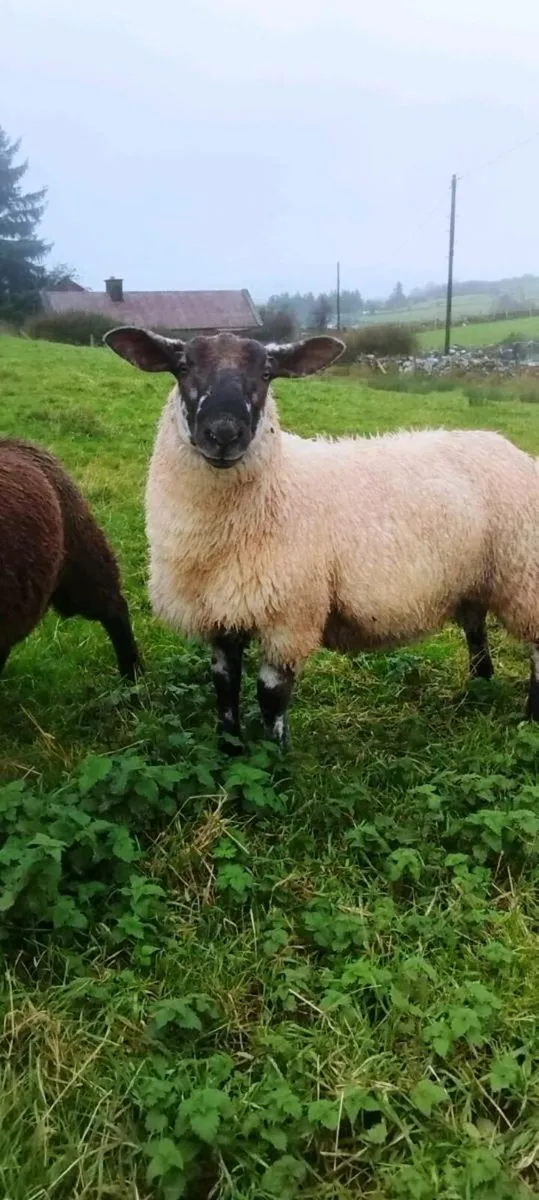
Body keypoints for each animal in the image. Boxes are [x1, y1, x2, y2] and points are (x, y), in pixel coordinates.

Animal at [104, 325, 539, 751]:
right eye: (182, 367)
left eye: (266, 373)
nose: (224, 433)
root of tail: (504, 444)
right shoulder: (221, 616)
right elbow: (225, 693)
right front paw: (231, 751)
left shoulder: (289, 616)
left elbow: (270, 700)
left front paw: (276, 761)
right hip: (475, 579)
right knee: (477, 634)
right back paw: (478, 688)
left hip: (524, 576)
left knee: (535, 649)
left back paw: (530, 720)